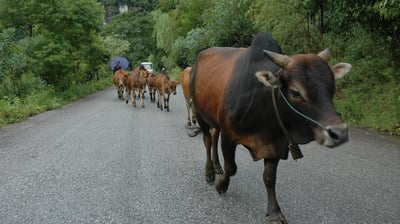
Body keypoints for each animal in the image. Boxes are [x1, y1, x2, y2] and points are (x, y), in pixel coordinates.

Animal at [189, 31, 352, 224]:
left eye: (331, 87)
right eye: (295, 92)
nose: (340, 133)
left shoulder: (276, 144)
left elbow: (269, 178)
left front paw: (274, 212)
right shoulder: (229, 137)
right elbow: (232, 167)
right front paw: (221, 184)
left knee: (213, 138)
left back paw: (216, 166)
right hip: (200, 114)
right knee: (208, 141)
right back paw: (210, 173)